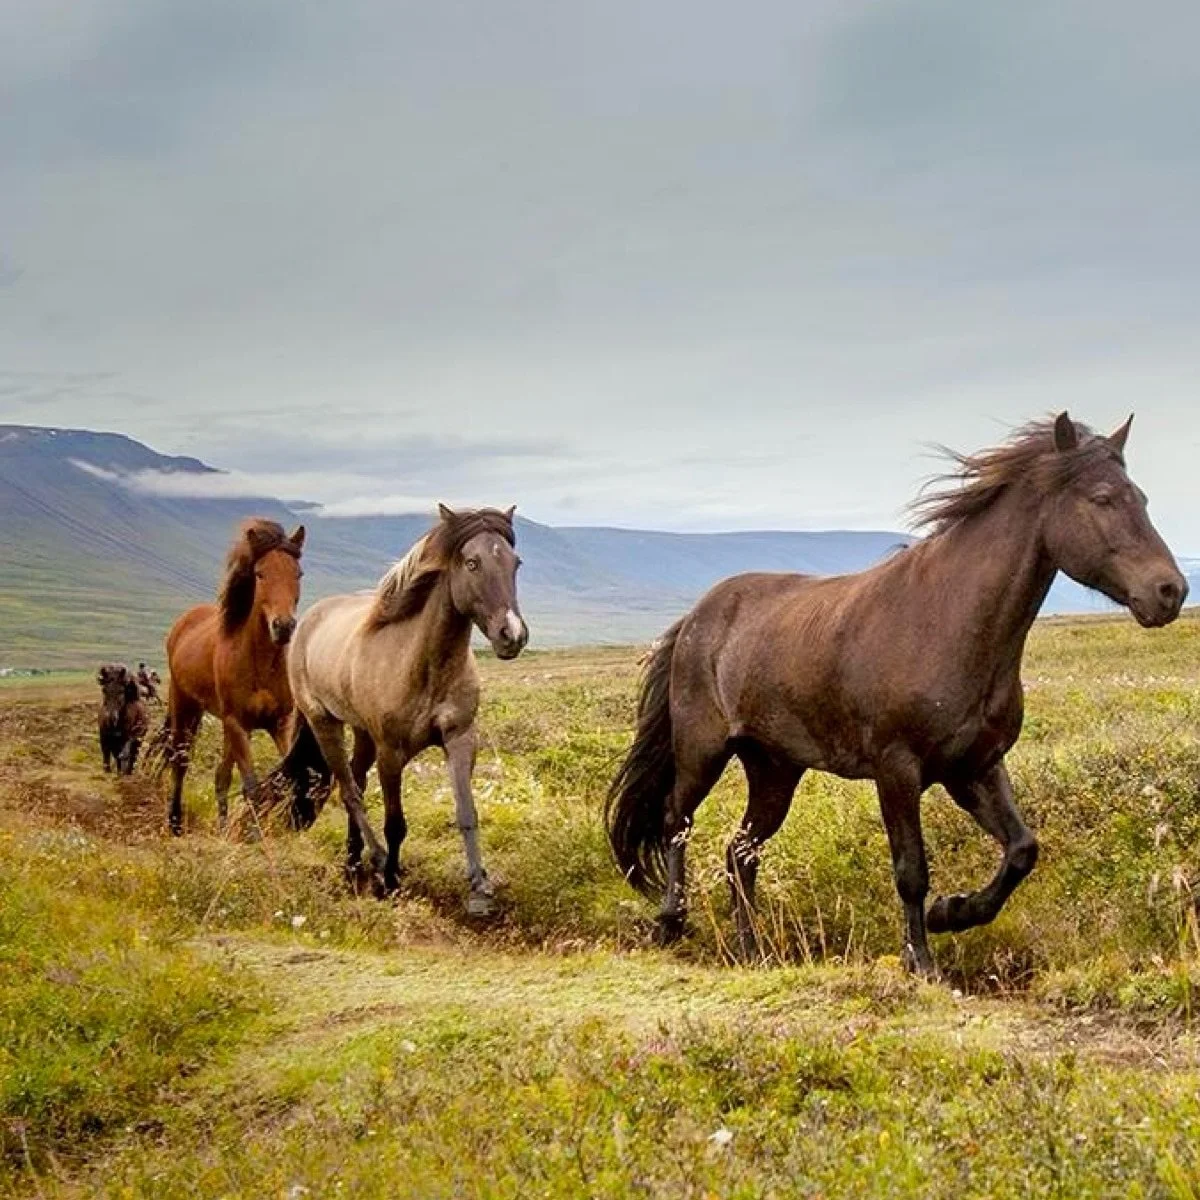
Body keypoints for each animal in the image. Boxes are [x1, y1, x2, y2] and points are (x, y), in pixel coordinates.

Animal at [158, 518, 305, 834]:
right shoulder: (238, 723)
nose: (284, 626)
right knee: (180, 762)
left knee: (220, 776)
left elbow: (284, 779)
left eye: (298, 573)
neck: (261, 662)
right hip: (185, 706)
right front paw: (255, 835)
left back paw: (223, 827)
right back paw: (175, 822)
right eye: (260, 573)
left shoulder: (280, 722)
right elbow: (252, 786)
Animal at [255, 505, 528, 913]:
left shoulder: (461, 739)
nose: (512, 635)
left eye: (516, 563)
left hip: (362, 733)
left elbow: (467, 813)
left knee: (356, 781)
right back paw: (377, 858)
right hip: (325, 723)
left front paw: (480, 888)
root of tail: (308, 620)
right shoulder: (391, 752)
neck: (425, 666)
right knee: (349, 791)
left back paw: (354, 861)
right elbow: (395, 821)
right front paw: (392, 881)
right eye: (472, 562)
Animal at [607, 413, 1187, 975]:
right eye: (1102, 498)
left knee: (740, 851)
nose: (1170, 592)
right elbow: (911, 869)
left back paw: (752, 951)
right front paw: (921, 960)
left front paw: (953, 913)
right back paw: (671, 923)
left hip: (775, 769)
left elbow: (1022, 849)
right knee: (676, 822)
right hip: (702, 751)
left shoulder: (974, 768)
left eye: (1142, 498)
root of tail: (696, 617)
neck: (948, 623)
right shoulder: (897, 770)